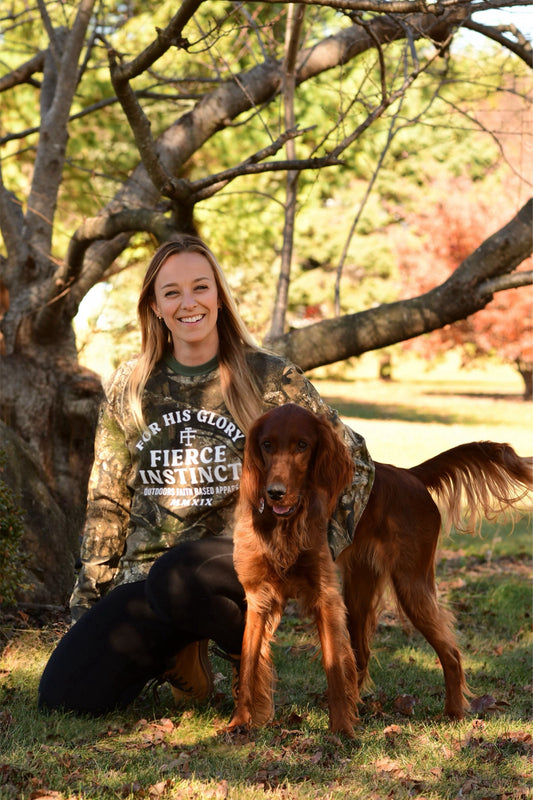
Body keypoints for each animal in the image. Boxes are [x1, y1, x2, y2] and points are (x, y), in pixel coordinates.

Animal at [227, 406, 528, 732]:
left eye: (302, 445)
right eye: (267, 445)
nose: (275, 493)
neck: (286, 525)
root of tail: (410, 474)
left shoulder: (325, 597)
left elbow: (334, 668)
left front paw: (341, 730)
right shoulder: (258, 597)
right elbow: (248, 662)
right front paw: (239, 723)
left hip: (412, 585)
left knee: (450, 652)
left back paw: (453, 712)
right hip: (359, 593)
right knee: (361, 655)